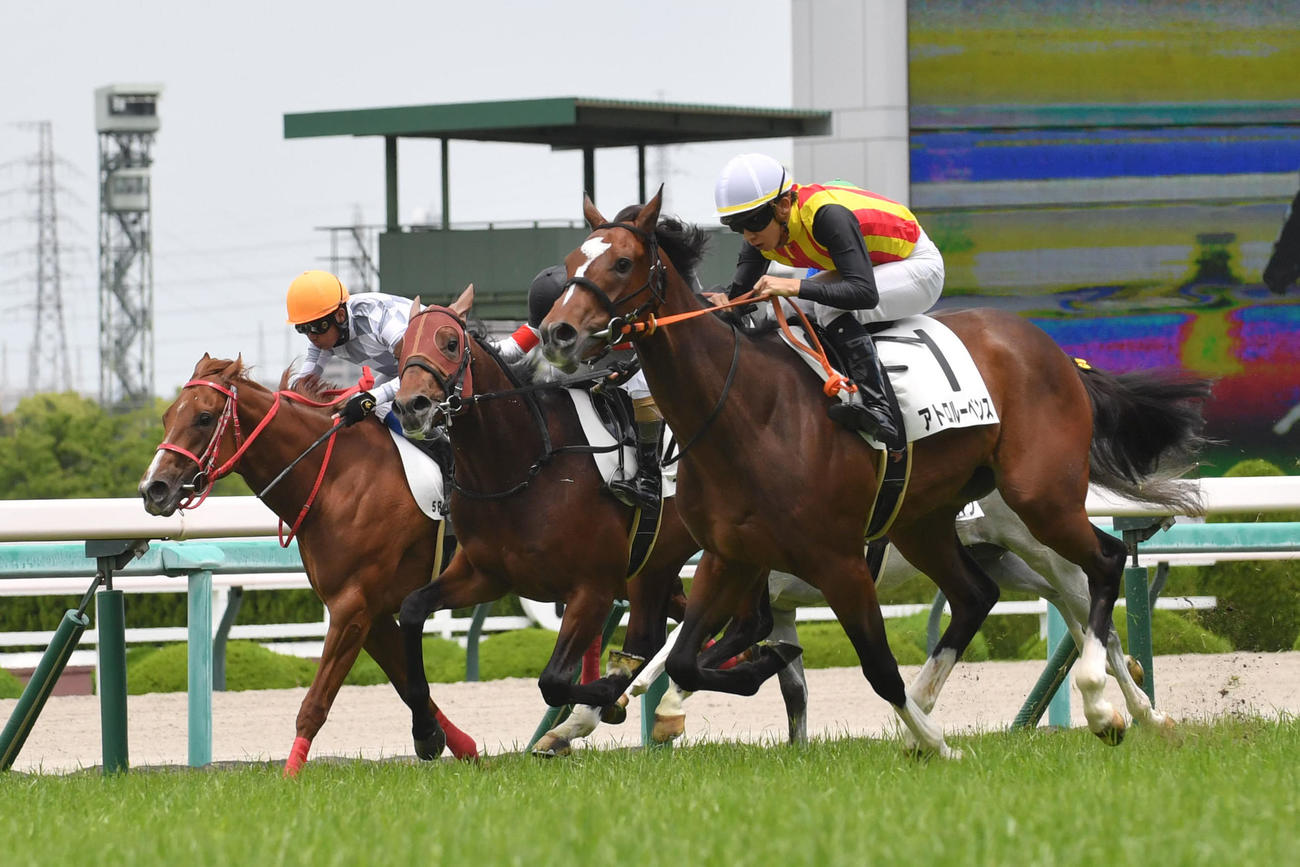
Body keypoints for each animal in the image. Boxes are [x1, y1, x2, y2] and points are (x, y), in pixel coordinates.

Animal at [138, 353, 480, 774]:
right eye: (168, 415)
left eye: (204, 417)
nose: (153, 489)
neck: (338, 481)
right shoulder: (371, 610)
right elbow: (408, 682)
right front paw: (449, 740)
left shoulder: (352, 607)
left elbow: (315, 703)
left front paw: (289, 775)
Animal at [388, 292, 705, 757]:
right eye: (399, 348)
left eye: (449, 343)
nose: (412, 407)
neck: (523, 466)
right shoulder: (484, 576)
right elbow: (411, 611)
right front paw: (426, 732)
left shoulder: (593, 588)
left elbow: (554, 681)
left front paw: (604, 701)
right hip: (656, 566)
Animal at [540, 191, 1211, 758]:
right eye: (572, 259)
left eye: (623, 262)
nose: (556, 333)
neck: (747, 413)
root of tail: (1058, 353)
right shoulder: (728, 557)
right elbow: (684, 659)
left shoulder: (836, 560)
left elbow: (875, 665)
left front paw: (942, 747)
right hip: (926, 521)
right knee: (978, 596)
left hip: (1038, 499)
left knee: (1100, 570)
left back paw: (1110, 706)